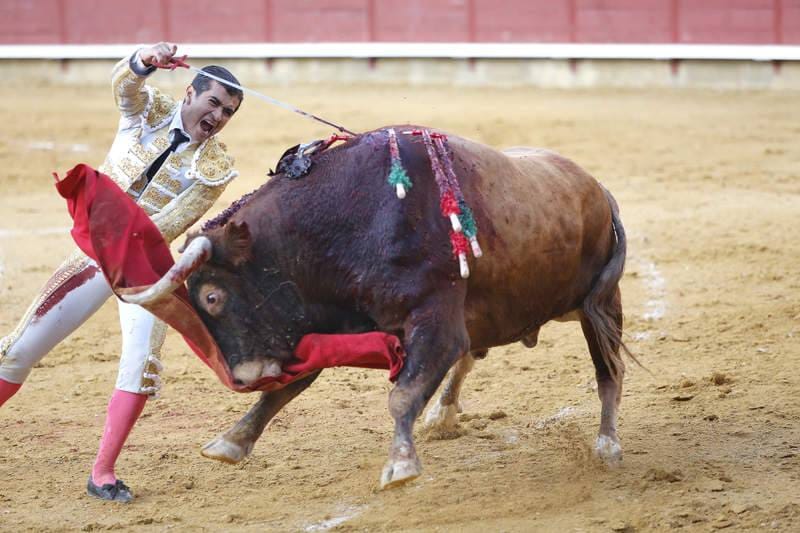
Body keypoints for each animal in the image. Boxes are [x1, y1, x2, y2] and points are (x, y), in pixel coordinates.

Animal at [130, 125, 632, 486]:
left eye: (212, 297)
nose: (245, 376)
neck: (349, 217)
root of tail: (599, 189)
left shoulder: (436, 322)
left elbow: (403, 394)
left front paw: (400, 467)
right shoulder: (326, 326)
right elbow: (288, 388)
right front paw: (231, 442)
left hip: (601, 306)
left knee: (609, 371)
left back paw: (607, 445)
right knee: (472, 356)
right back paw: (442, 417)